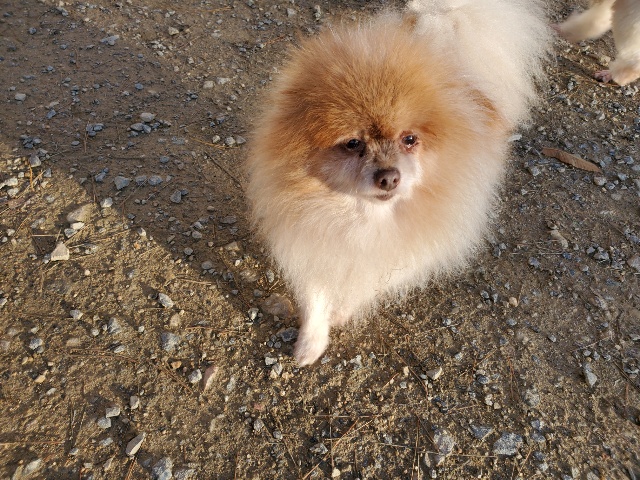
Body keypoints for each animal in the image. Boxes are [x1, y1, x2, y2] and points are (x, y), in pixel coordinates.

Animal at [246, 0, 551, 366]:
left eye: (409, 139)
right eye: (353, 143)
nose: (389, 176)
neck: (363, 219)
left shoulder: (400, 256)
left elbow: (364, 286)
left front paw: (342, 311)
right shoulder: (307, 242)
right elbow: (316, 296)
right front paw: (310, 343)